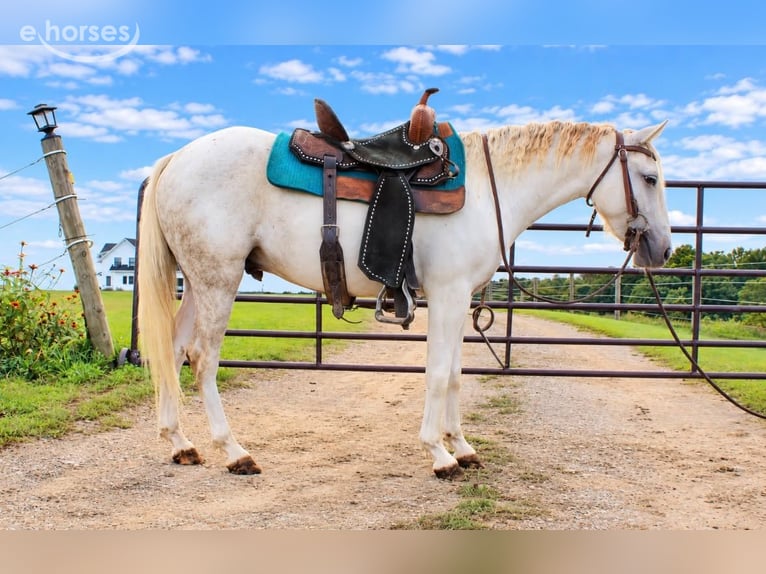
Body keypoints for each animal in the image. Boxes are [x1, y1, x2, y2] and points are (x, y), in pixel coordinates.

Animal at [137, 117, 672, 479]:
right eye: (649, 179)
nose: (663, 249)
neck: (488, 190)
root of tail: (176, 159)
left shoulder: (460, 300)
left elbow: (454, 374)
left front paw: (462, 446)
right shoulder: (448, 294)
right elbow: (437, 375)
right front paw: (439, 455)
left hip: (198, 283)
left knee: (174, 351)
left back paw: (180, 443)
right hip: (218, 279)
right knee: (203, 358)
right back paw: (234, 451)